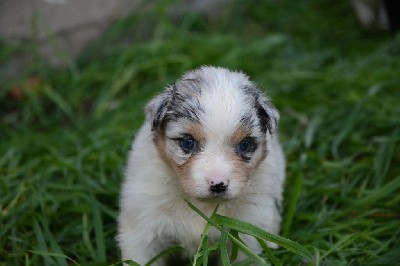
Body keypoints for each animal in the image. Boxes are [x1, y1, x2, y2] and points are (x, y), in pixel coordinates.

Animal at [117, 66, 286, 264]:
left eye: (245, 144)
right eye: (188, 142)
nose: (218, 184)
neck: (200, 204)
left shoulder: (249, 235)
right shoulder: (143, 231)